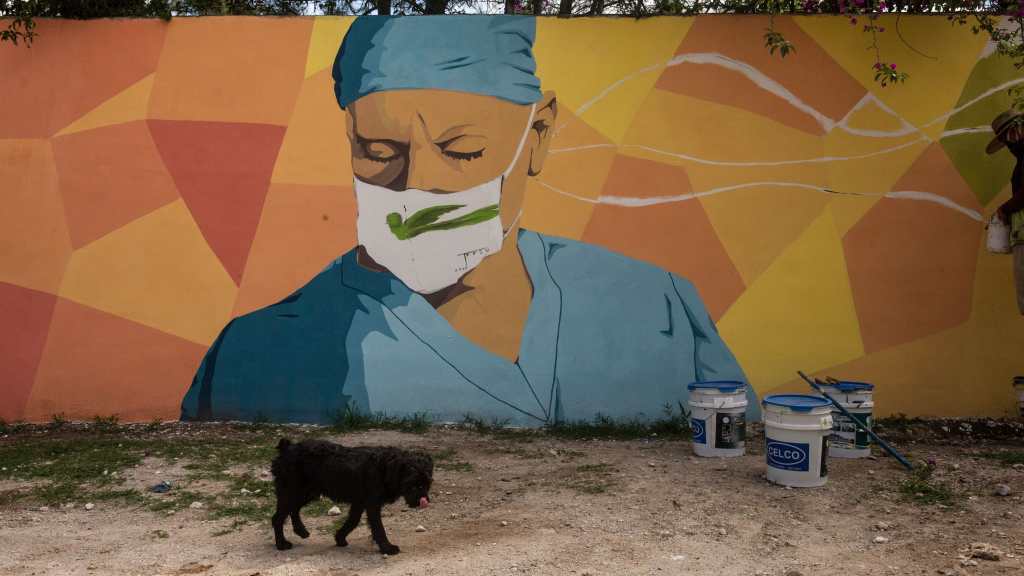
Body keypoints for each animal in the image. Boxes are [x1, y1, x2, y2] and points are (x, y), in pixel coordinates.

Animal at [270, 438, 433, 554]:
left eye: (427, 483)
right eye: (413, 483)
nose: (424, 500)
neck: (385, 466)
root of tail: (286, 448)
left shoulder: (359, 503)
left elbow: (352, 521)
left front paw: (339, 538)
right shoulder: (372, 505)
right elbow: (378, 527)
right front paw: (387, 547)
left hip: (307, 493)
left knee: (294, 509)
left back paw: (301, 531)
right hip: (292, 492)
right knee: (278, 517)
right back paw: (281, 544)